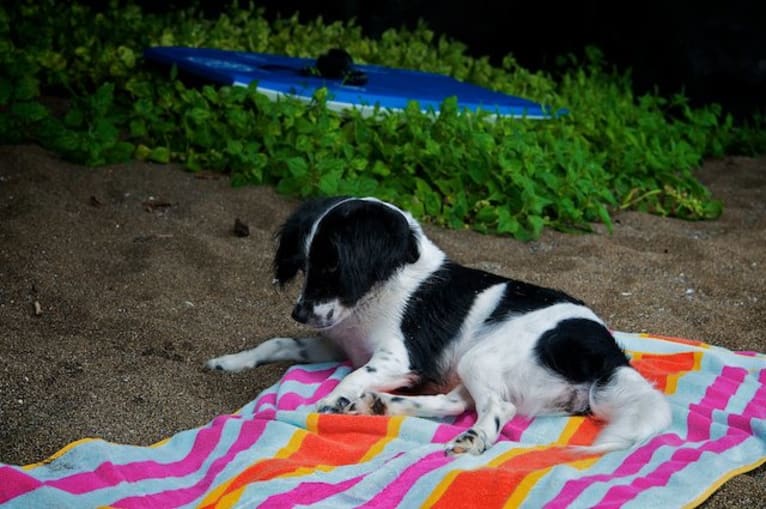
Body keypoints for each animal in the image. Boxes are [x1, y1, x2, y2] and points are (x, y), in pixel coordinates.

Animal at [208, 196, 672, 454]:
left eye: (332, 267)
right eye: (304, 265)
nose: (300, 313)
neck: (385, 287)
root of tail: (607, 353)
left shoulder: (399, 358)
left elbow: (354, 376)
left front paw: (332, 401)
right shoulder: (336, 343)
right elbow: (277, 343)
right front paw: (231, 361)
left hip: (480, 358)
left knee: (494, 408)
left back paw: (470, 440)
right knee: (456, 403)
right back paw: (381, 405)